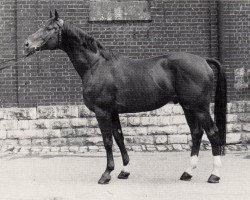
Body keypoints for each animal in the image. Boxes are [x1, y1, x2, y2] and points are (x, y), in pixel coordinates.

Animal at [24, 9, 227, 184]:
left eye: (49, 28)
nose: (26, 44)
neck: (96, 65)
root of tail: (203, 60)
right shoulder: (113, 112)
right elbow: (119, 138)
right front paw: (124, 171)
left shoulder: (102, 112)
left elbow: (107, 141)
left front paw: (106, 174)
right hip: (188, 107)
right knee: (196, 133)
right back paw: (187, 172)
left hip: (200, 108)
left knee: (212, 133)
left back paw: (214, 175)